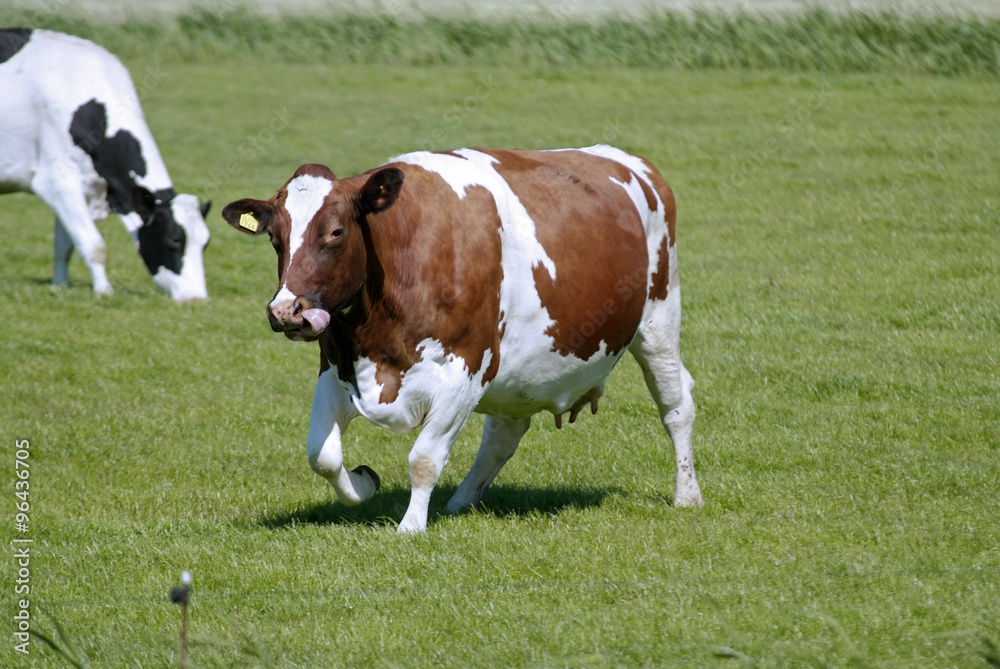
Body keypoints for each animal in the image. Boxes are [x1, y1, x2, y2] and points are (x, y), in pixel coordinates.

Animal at [0, 28, 211, 301]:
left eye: (205, 243)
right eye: (175, 240)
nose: (197, 298)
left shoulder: (81, 186)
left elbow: (65, 246)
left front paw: (60, 285)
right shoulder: (56, 179)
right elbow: (93, 244)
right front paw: (103, 290)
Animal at [222, 145, 703, 532]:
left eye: (336, 232)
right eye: (275, 237)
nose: (286, 310)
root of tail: (629, 160)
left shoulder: (465, 371)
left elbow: (423, 458)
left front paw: (411, 526)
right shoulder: (336, 368)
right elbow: (322, 456)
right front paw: (364, 484)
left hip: (659, 318)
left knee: (676, 404)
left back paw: (687, 494)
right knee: (504, 433)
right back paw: (462, 500)